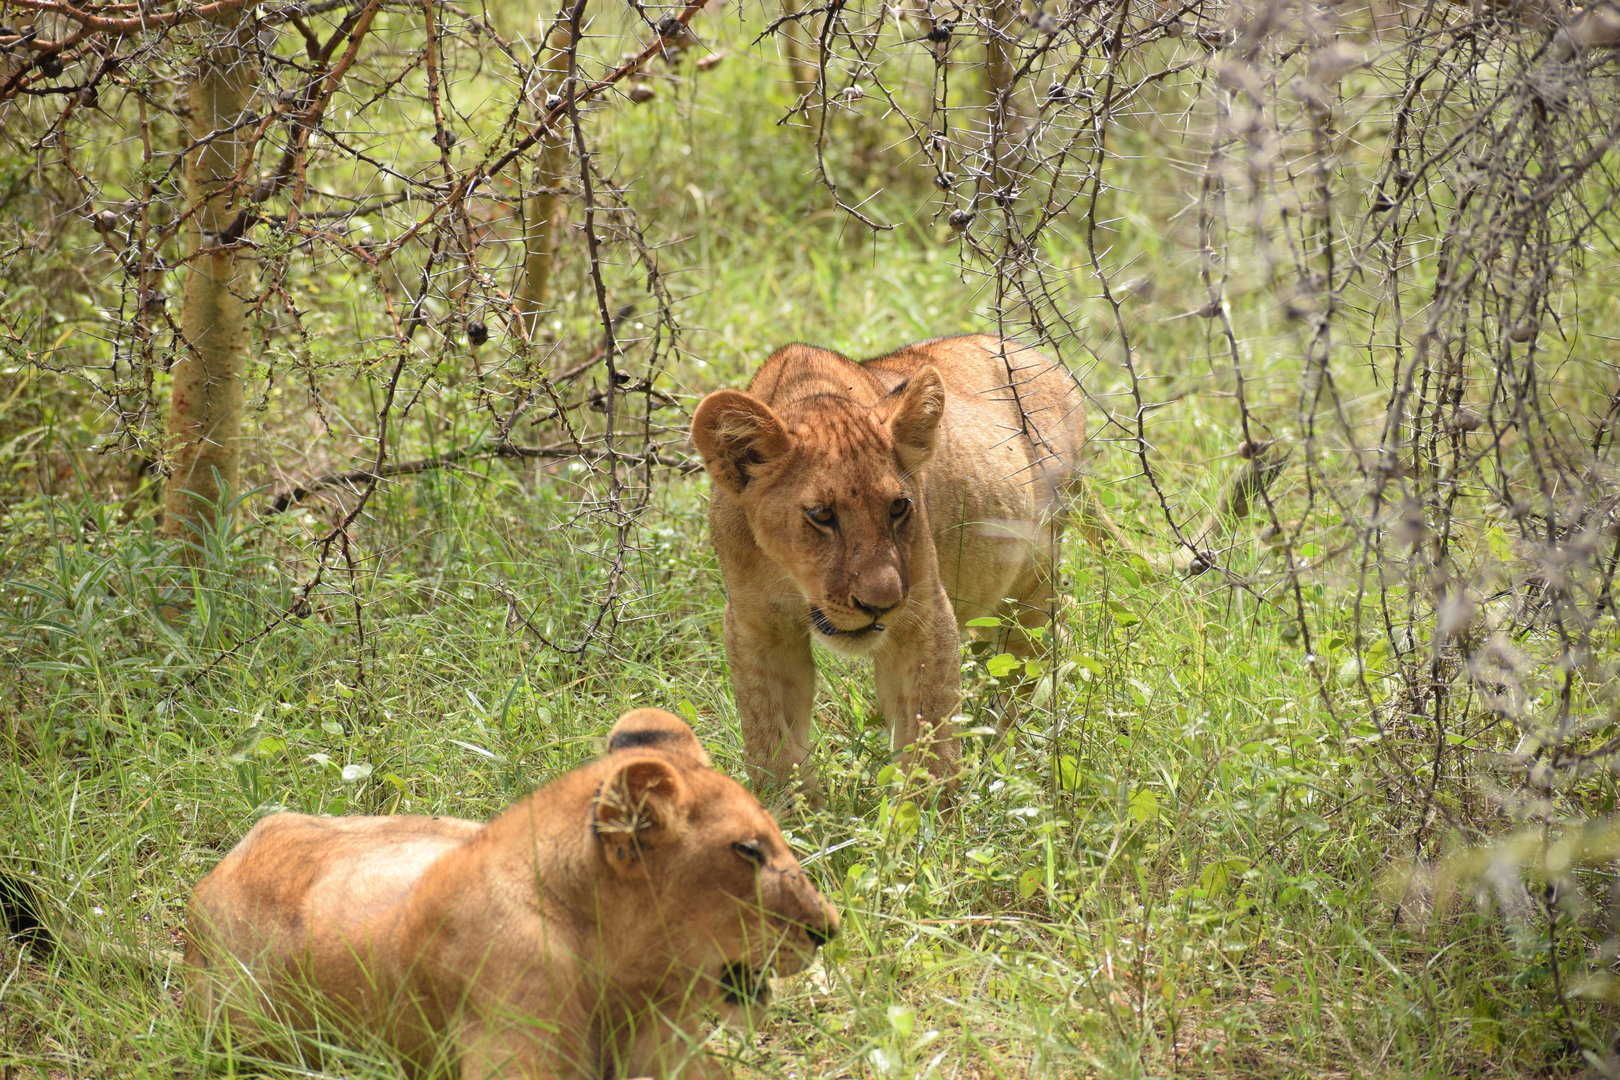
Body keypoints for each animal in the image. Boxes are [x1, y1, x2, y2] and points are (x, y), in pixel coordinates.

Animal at [690, 333, 1095, 798]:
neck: (789, 577)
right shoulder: (757, 627)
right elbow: (770, 739)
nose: (881, 603)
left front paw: (926, 812)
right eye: (822, 515)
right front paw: (785, 810)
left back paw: (1010, 755)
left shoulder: (923, 614)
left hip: (1033, 577)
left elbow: (929, 736)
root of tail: (1048, 362)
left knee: (1035, 655)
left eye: (898, 507)